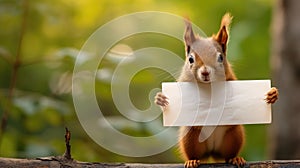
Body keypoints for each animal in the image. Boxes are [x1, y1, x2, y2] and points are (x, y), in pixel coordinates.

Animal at [155, 13, 278, 168]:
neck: (209, 86)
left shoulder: (231, 80)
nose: (205, 72)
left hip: (234, 134)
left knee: (228, 155)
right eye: (190, 59)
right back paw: (192, 160)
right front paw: (160, 99)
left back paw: (235, 158)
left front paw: (272, 94)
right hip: (190, 137)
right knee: (195, 154)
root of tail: (212, 152)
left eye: (220, 57)